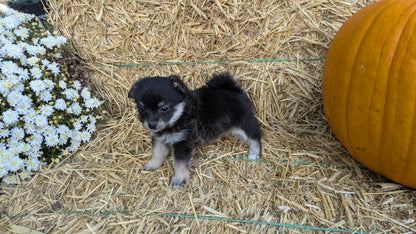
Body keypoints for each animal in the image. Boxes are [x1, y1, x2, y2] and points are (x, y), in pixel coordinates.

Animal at [128, 73, 262, 188]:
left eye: (164, 108)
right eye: (142, 108)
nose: (151, 125)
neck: (180, 116)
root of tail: (234, 89)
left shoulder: (182, 142)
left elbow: (179, 163)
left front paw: (179, 179)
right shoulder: (158, 138)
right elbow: (157, 153)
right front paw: (152, 164)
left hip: (243, 123)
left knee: (254, 136)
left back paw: (254, 153)